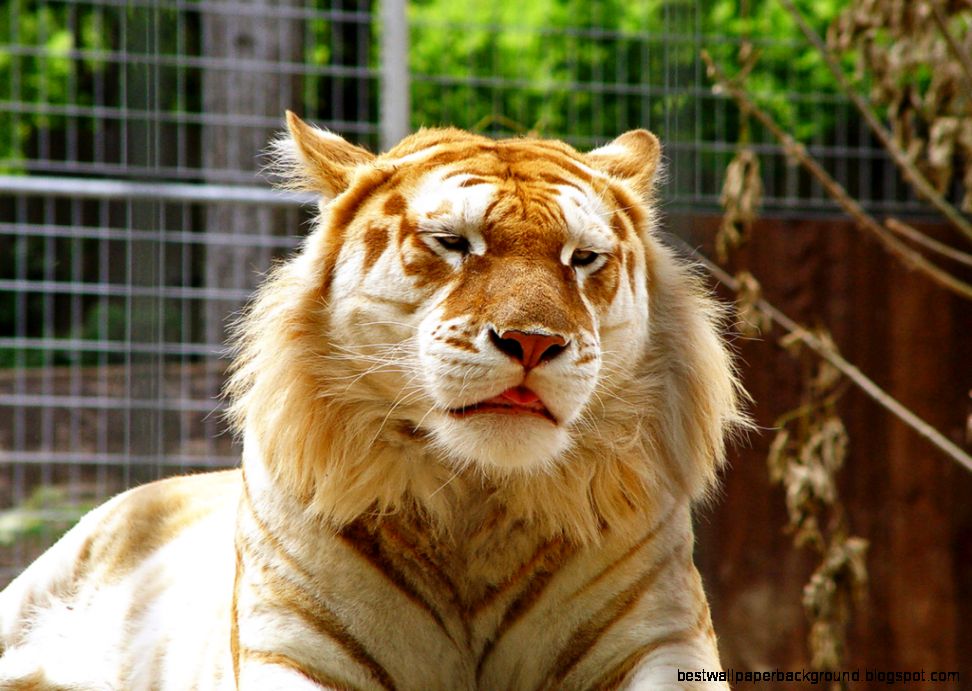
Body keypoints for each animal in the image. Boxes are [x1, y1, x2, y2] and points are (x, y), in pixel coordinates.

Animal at [0, 112, 745, 690]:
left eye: (583, 258)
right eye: (453, 243)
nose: (533, 342)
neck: (478, 502)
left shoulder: (662, 639)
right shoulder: (295, 647)